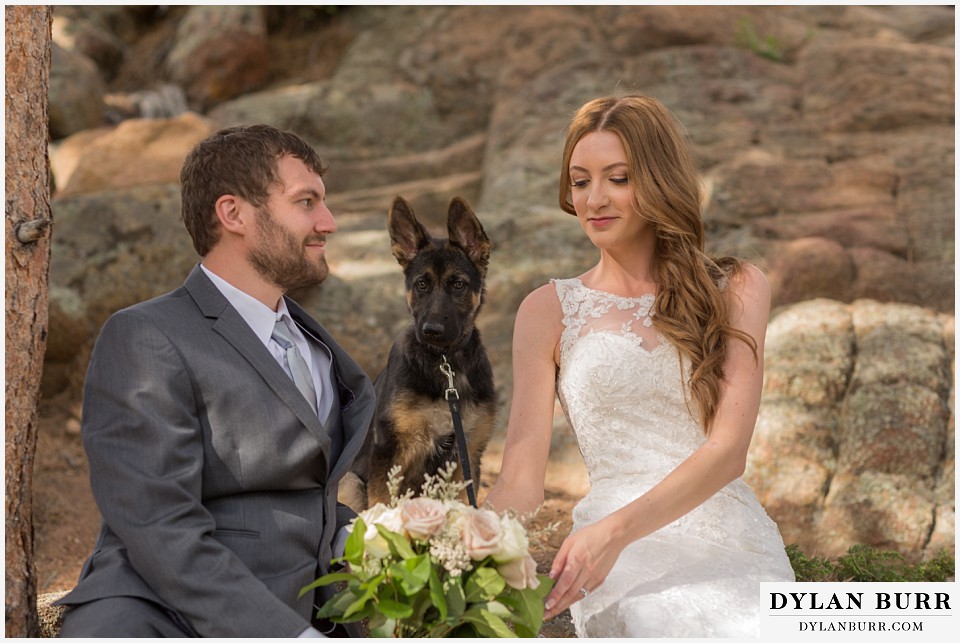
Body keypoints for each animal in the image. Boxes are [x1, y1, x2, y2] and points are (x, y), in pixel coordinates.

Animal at [342, 194, 498, 510]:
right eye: (422, 284)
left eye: (458, 284)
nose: (431, 330)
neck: (444, 364)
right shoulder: (388, 453)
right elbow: (382, 509)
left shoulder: (467, 457)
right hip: (350, 482)